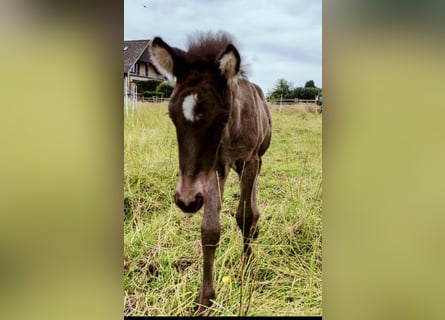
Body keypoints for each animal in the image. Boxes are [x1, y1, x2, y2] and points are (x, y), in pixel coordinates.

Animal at [149, 32, 270, 316]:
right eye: (171, 115)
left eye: (223, 117)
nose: (186, 200)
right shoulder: (214, 167)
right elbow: (210, 230)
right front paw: (205, 300)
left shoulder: (249, 161)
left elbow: (245, 215)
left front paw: (247, 267)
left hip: (256, 159)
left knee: (252, 200)